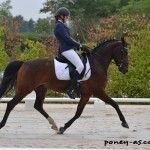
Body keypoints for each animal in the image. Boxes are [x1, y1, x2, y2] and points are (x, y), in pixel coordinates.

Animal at [0, 37, 129, 134]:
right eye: (123, 51)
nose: (125, 69)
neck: (96, 63)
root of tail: (24, 63)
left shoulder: (86, 94)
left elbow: (78, 113)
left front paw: (63, 128)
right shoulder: (98, 91)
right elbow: (115, 104)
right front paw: (124, 123)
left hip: (41, 89)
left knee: (38, 106)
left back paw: (54, 125)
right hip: (25, 89)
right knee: (11, 104)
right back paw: (2, 124)